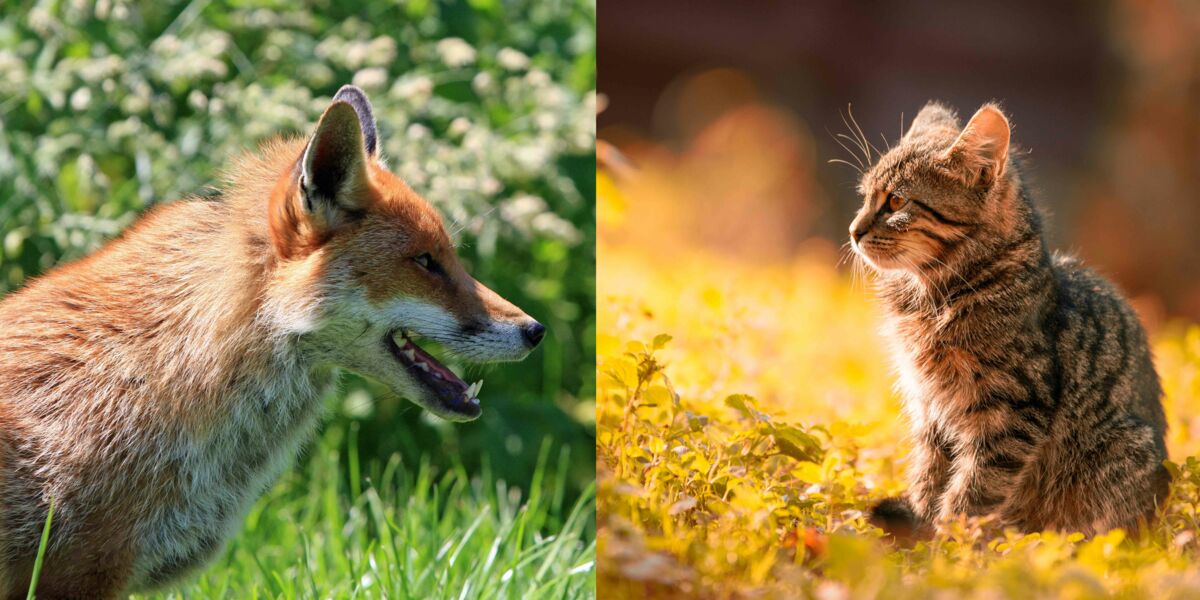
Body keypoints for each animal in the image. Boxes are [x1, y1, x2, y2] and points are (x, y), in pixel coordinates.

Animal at [849, 100, 1166, 537]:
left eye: (896, 202)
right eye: (865, 197)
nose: (853, 231)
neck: (932, 297)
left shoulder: (1011, 412)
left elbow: (972, 491)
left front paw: (949, 544)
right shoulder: (930, 409)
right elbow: (928, 476)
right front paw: (922, 528)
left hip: (1122, 452)